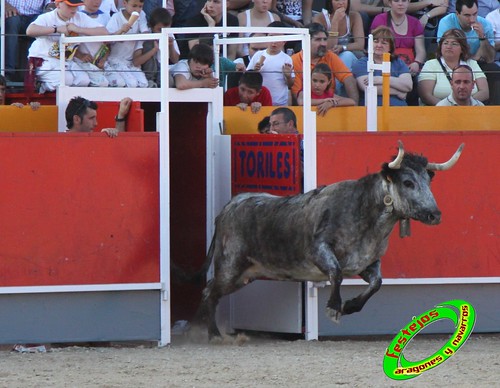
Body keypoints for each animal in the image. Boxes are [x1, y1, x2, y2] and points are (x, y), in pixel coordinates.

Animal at [195, 142, 464, 340]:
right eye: (408, 182)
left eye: (428, 181)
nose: (435, 215)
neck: (364, 213)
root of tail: (231, 205)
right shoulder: (318, 251)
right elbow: (336, 272)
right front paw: (334, 308)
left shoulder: (366, 262)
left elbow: (376, 282)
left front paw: (350, 306)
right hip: (230, 267)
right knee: (209, 292)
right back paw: (214, 335)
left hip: (244, 276)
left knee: (212, 292)